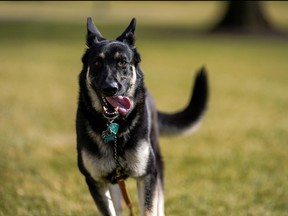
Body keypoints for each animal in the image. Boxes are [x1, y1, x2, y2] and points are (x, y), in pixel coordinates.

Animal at [75, 17, 208, 216]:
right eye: (97, 63)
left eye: (122, 62)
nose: (110, 88)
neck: (115, 127)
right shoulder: (96, 181)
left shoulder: (147, 176)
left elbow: (149, 209)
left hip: (157, 163)